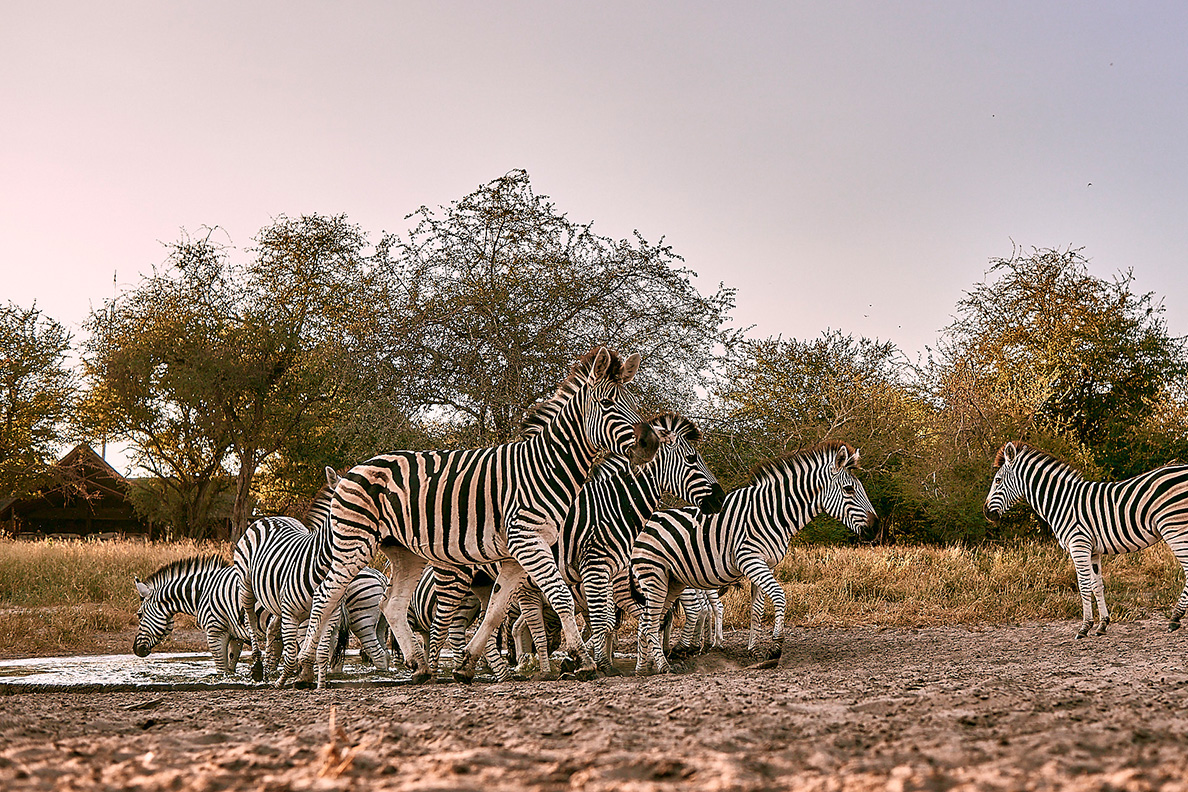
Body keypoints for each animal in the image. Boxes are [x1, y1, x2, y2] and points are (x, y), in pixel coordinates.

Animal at [236, 466, 391, 685]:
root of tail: (270, 518)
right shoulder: (291, 614)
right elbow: (292, 654)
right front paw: (284, 681)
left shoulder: (330, 615)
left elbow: (321, 652)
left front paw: (317, 682)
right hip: (246, 586)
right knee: (250, 619)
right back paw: (258, 667)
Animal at [296, 347, 662, 687]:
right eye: (607, 403)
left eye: (634, 402)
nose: (650, 443)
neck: (546, 466)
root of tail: (355, 468)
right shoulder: (527, 540)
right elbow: (560, 597)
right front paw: (583, 661)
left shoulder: (517, 554)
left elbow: (495, 612)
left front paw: (467, 664)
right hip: (354, 542)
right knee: (325, 596)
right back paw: (302, 670)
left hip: (404, 552)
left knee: (392, 605)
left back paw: (419, 667)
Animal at [513, 411, 725, 676]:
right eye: (691, 459)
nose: (720, 499)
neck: (609, 506)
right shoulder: (596, 568)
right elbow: (603, 620)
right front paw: (597, 662)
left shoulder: (605, 572)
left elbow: (605, 620)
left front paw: (598, 662)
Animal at [630, 441, 876, 674]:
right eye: (848, 489)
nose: (875, 528)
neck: (773, 512)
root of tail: (642, 525)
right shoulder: (750, 560)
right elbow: (779, 595)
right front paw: (775, 647)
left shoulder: (766, 564)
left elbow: (757, 609)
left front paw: (755, 651)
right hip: (654, 577)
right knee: (650, 622)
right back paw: (662, 666)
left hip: (672, 582)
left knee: (647, 621)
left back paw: (644, 668)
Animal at [984, 441, 1188, 638]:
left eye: (998, 480)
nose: (986, 513)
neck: (1061, 502)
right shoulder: (1093, 551)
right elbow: (1097, 585)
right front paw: (1102, 625)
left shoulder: (1079, 545)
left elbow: (1083, 586)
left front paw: (1084, 627)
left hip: (1174, 527)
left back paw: (1175, 617)